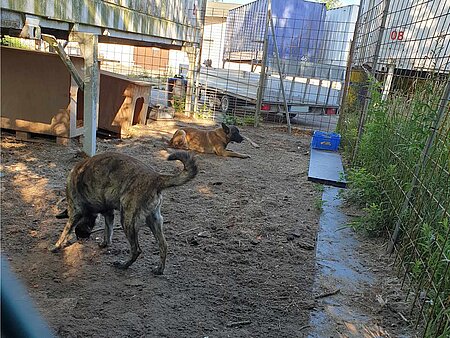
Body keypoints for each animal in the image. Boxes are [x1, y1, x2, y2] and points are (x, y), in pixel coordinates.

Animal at [49, 152, 197, 274]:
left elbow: (65, 230)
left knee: (136, 250)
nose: (81, 238)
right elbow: (108, 231)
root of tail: (155, 177)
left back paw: (124, 265)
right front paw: (105, 243)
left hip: (127, 220)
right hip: (153, 221)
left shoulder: (75, 212)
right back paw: (159, 269)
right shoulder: (108, 213)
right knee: (163, 245)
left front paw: (57, 245)